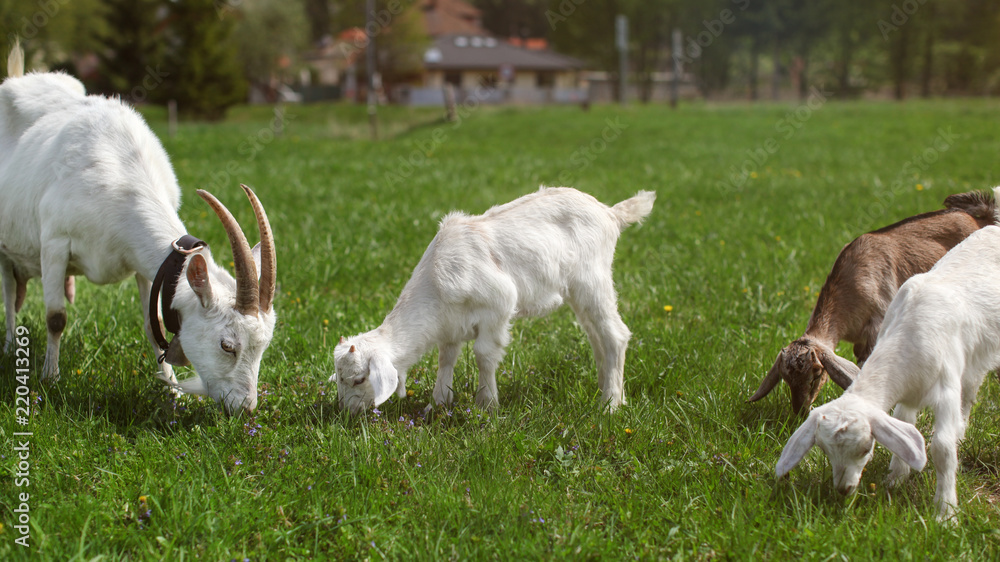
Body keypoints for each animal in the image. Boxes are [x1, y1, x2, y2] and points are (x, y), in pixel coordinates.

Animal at [0, 43, 277, 414]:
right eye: (227, 345)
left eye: (263, 347)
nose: (245, 407)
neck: (118, 175)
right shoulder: (55, 243)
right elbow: (56, 317)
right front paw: (50, 380)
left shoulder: (146, 265)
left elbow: (151, 322)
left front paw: (172, 391)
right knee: (8, 293)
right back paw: (9, 346)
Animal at [330, 187, 655, 415]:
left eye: (358, 379)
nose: (347, 412)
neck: (435, 283)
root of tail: (610, 213)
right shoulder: (450, 325)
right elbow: (446, 358)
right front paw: (438, 403)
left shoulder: (498, 304)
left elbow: (483, 355)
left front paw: (486, 404)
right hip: (579, 292)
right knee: (596, 336)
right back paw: (609, 390)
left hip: (592, 280)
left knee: (615, 335)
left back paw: (610, 405)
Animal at [750, 190, 997, 415]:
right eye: (785, 378)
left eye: (817, 373)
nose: (800, 411)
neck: (852, 281)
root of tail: (982, 218)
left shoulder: (878, 324)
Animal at [775, 218, 1000, 521]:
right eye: (824, 450)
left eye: (866, 448)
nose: (843, 490)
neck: (910, 336)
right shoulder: (908, 394)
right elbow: (905, 427)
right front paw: (895, 479)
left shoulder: (946, 389)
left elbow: (942, 449)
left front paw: (945, 512)